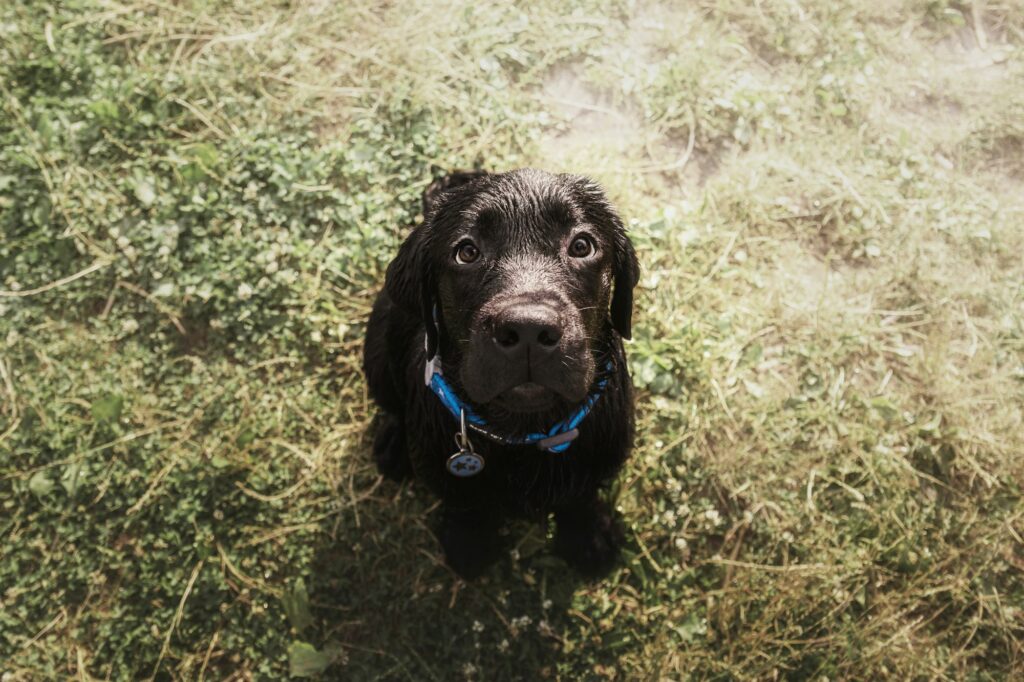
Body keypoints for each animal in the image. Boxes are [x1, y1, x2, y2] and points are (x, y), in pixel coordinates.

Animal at [364, 168, 638, 573]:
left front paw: (589, 535)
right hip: (378, 352)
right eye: (467, 252)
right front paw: (469, 544)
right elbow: (466, 504)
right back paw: (393, 444)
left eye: (581, 246)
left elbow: (582, 495)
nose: (528, 329)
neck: (524, 433)